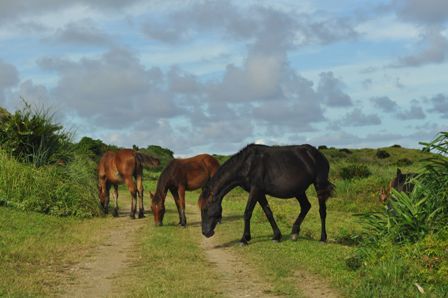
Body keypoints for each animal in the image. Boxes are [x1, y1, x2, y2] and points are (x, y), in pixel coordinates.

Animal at [199, 144, 332, 244]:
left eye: (205, 209)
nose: (205, 233)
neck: (247, 164)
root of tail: (319, 155)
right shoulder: (259, 192)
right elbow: (268, 212)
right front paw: (276, 236)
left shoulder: (255, 190)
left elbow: (247, 213)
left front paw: (244, 239)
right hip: (299, 191)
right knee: (306, 206)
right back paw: (294, 233)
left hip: (319, 184)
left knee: (322, 211)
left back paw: (323, 238)